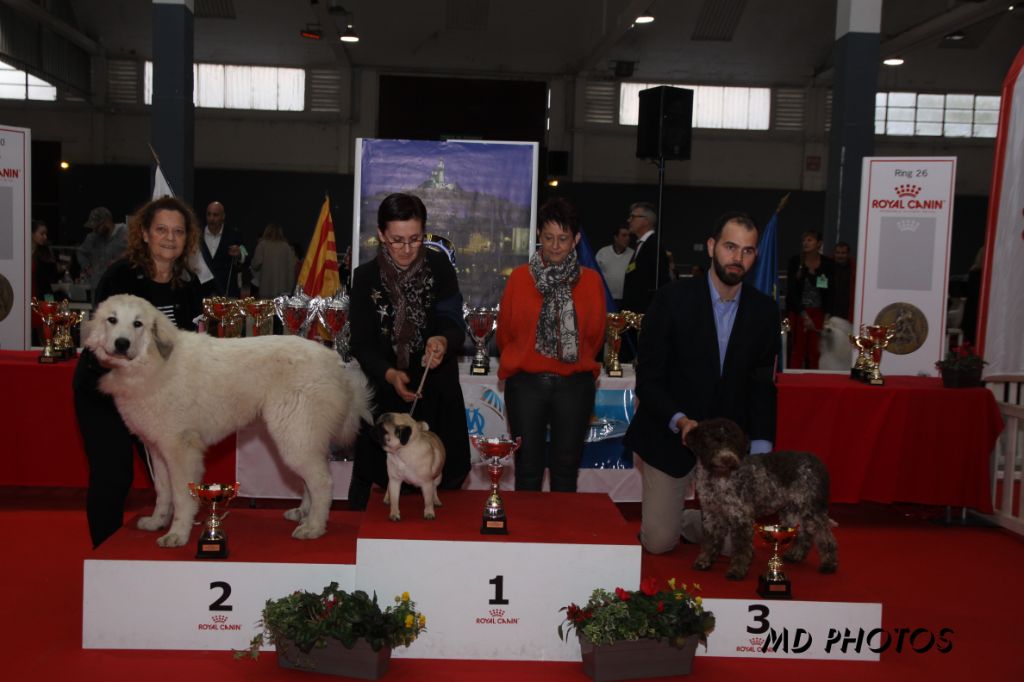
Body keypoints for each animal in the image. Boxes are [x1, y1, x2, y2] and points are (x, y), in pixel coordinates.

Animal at [84, 292, 372, 548]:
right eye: (112, 320)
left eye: (137, 324)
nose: (121, 343)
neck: (154, 362)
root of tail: (335, 362)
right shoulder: (157, 449)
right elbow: (163, 492)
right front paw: (157, 522)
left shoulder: (180, 450)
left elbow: (181, 496)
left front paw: (177, 534)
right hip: (300, 438)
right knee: (311, 479)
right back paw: (303, 513)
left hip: (294, 437)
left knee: (322, 481)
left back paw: (314, 527)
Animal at [684, 413, 835, 577]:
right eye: (713, 440)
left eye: (734, 443)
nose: (727, 459)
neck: (718, 479)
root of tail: (817, 462)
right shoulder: (712, 515)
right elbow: (709, 541)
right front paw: (704, 561)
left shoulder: (741, 516)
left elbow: (741, 547)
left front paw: (737, 570)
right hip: (792, 510)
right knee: (804, 533)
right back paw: (795, 555)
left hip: (812, 507)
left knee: (825, 536)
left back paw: (829, 564)